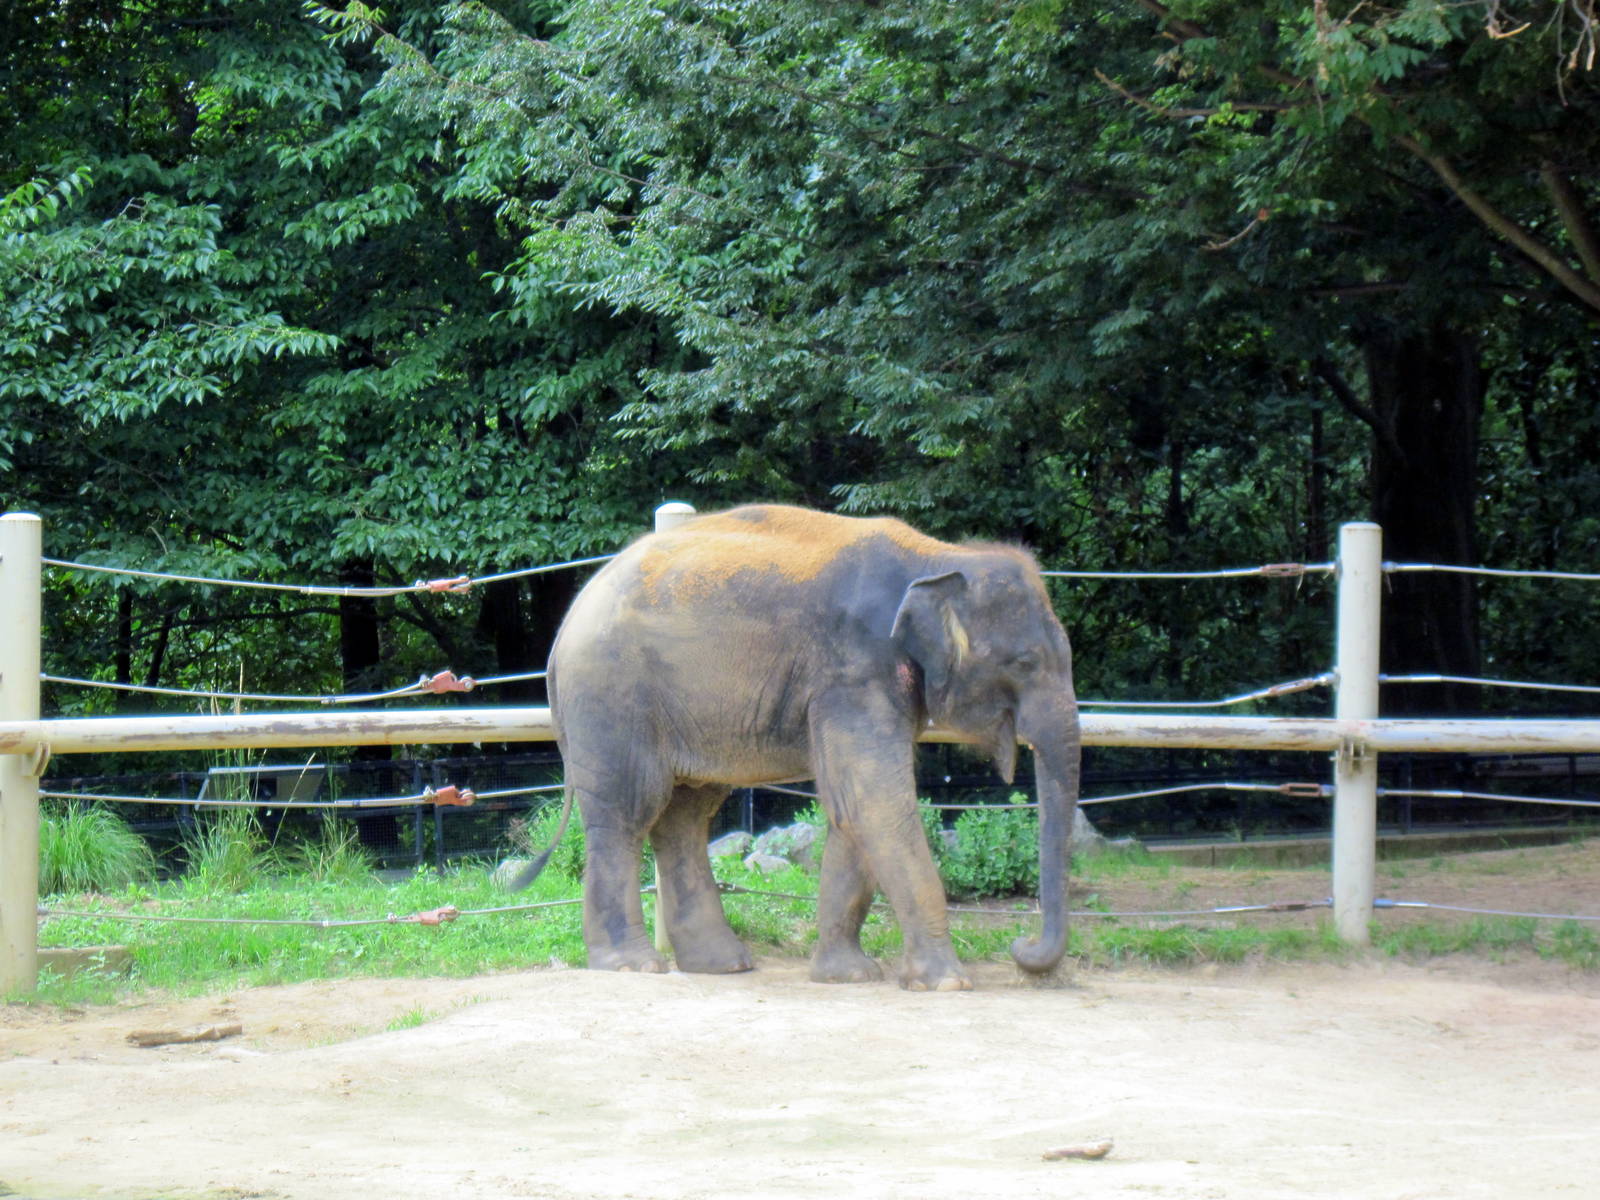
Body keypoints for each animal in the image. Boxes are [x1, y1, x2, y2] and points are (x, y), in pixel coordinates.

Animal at [507, 503, 1081, 991]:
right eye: (1026, 663)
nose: (1021, 946)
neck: (940, 556)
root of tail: (568, 623)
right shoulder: (853, 669)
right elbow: (874, 801)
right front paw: (945, 983)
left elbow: (852, 806)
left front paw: (848, 976)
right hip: (612, 694)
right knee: (630, 811)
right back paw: (633, 965)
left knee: (686, 815)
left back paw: (723, 965)